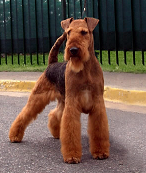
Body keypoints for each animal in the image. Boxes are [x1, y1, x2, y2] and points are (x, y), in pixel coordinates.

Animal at [8, 17, 109, 164]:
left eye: (84, 32)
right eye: (69, 32)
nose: (73, 49)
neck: (85, 70)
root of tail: (51, 63)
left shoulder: (97, 104)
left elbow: (99, 130)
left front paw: (100, 152)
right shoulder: (72, 105)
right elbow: (71, 130)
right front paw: (72, 156)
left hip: (62, 101)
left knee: (54, 115)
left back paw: (56, 133)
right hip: (38, 97)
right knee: (24, 115)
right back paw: (14, 136)